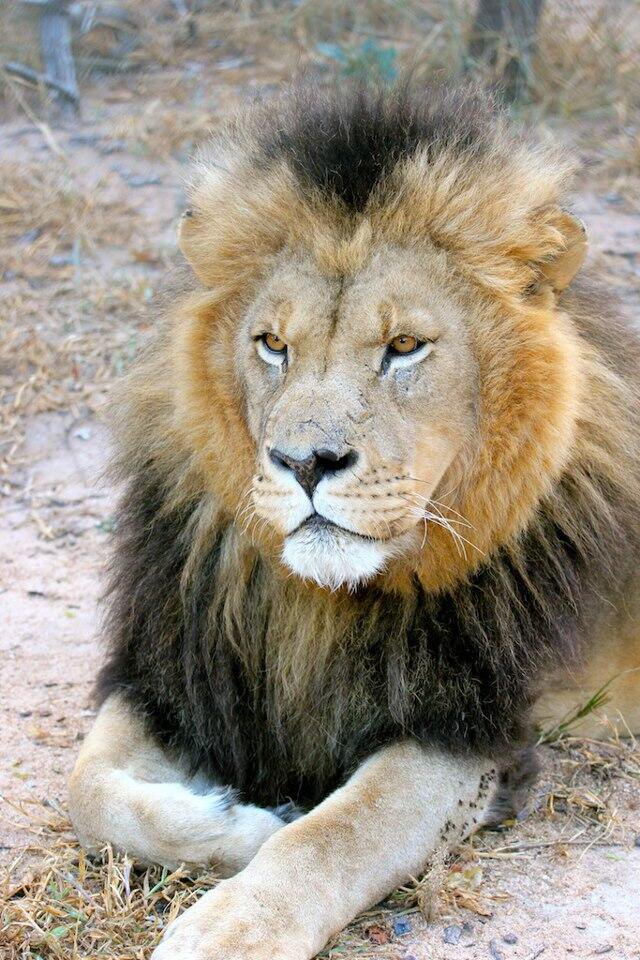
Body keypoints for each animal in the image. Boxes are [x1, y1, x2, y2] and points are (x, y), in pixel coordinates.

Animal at [68, 84, 640, 960]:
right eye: (272, 344)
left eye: (404, 346)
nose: (306, 462)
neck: (323, 603)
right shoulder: (175, 671)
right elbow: (88, 790)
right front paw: (240, 822)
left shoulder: (470, 732)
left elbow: (334, 835)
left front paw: (232, 926)